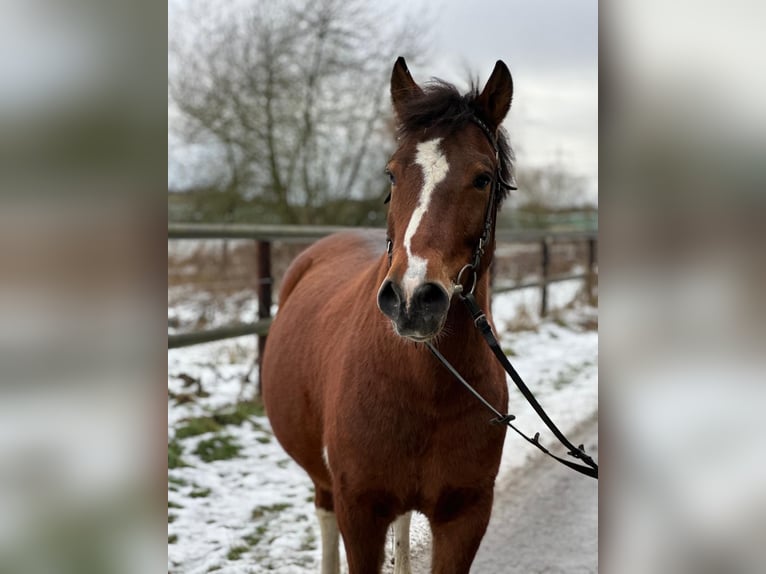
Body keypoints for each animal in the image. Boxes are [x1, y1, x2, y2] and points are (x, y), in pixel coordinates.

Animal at [261, 56, 515, 574]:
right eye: (392, 174)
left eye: (482, 178)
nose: (413, 298)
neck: (423, 384)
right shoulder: (359, 510)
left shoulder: (466, 515)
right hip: (325, 483)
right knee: (323, 513)